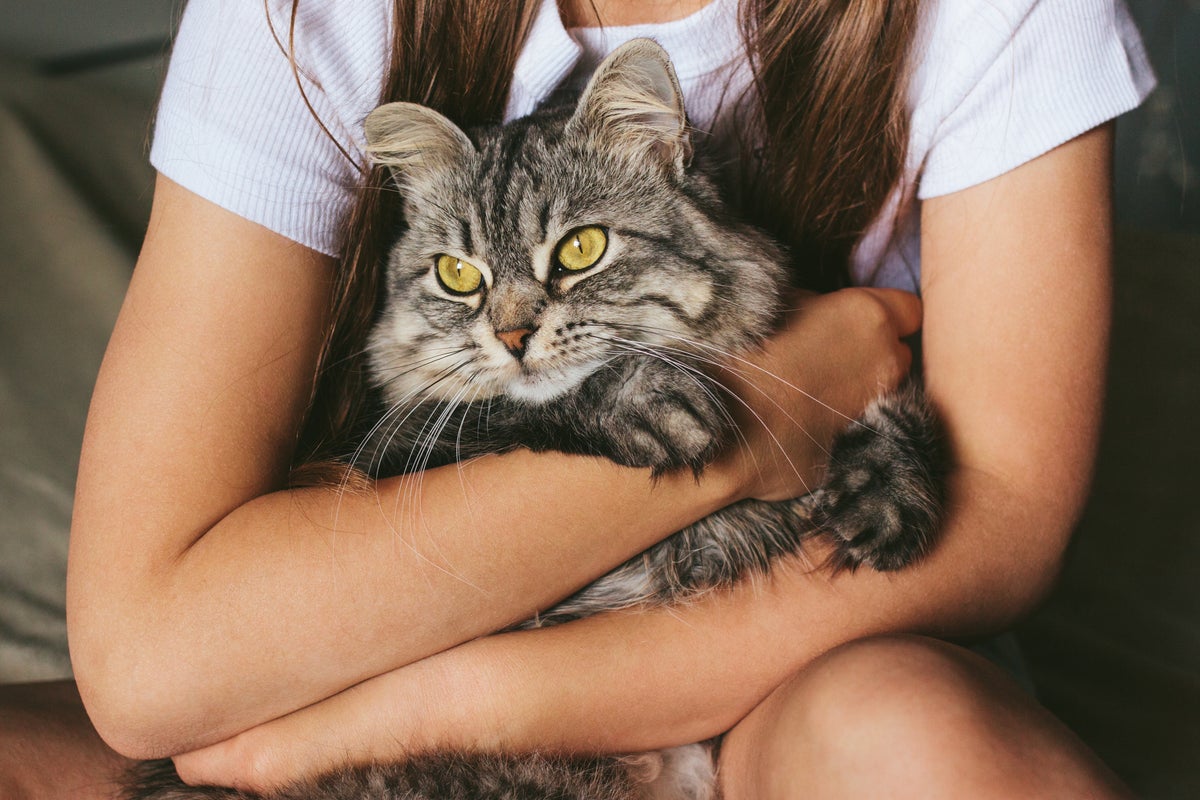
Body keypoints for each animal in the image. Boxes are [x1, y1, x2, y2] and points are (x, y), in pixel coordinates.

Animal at [126, 38, 940, 800]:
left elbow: (907, 410)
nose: (514, 336)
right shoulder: (395, 447)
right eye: (459, 275)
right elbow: (513, 410)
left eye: (582, 248)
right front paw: (643, 399)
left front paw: (886, 490)